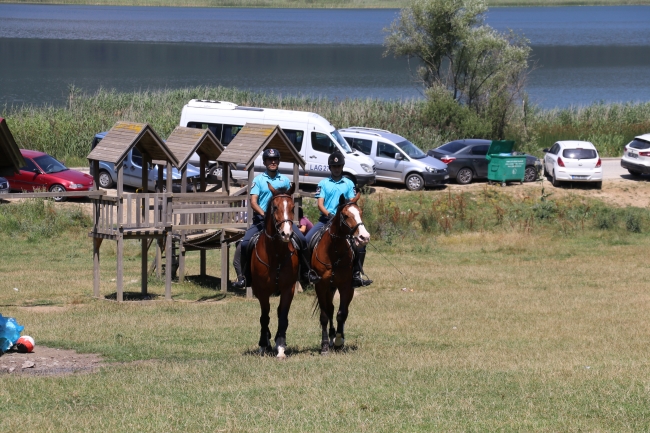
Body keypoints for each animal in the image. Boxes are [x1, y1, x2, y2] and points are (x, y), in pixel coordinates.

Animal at [251, 182, 298, 358]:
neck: (276, 254)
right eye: (275, 207)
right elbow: (264, 317)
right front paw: (263, 345)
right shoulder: (262, 291)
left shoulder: (288, 289)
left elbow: (282, 316)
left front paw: (281, 347)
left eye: (292, 207)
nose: (286, 233)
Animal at [310, 192, 368, 354]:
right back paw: (329, 339)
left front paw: (339, 341)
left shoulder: (346, 287)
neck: (334, 251)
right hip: (328, 288)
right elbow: (324, 315)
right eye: (346, 215)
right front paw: (324, 345)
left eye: (360, 213)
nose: (364, 237)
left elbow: (342, 314)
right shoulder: (321, 286)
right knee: (329, 310)